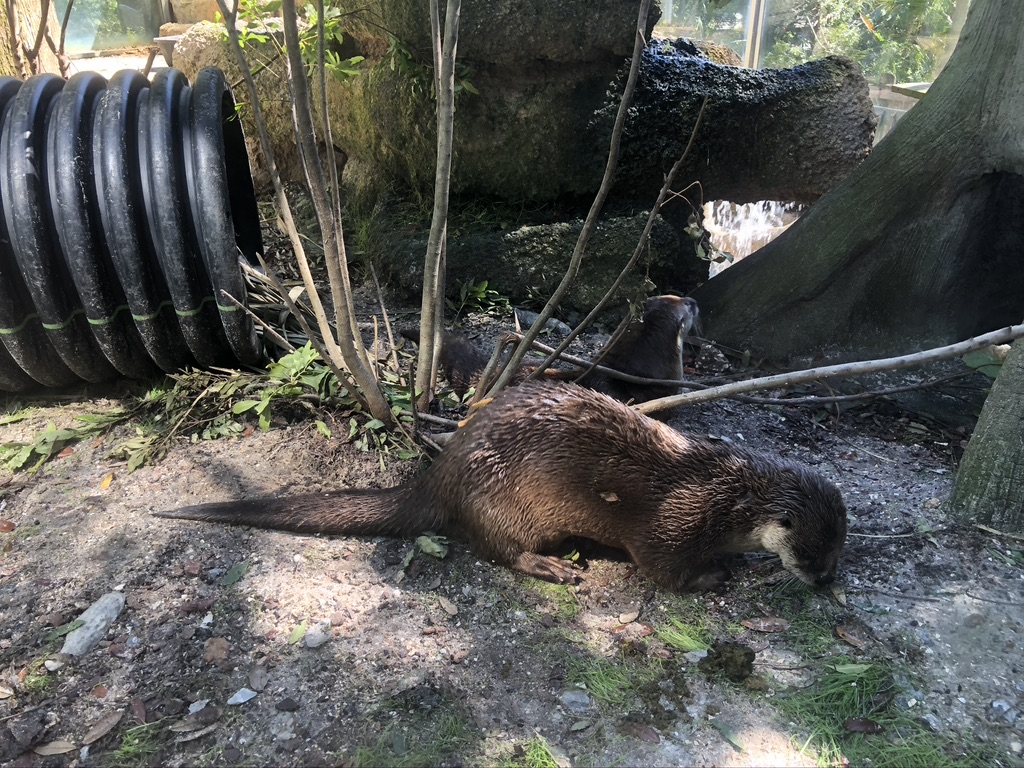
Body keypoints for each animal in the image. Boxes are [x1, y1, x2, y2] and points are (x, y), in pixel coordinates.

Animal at [155, 382, 847, 593]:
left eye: (838, 553)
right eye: (812, 552)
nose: (824, 581)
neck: (726, 492)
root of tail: (441, 473)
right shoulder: (674, 521)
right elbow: (661, 569)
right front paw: (714, 575)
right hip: (500, 498)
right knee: (495, 549)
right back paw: (554, 566)